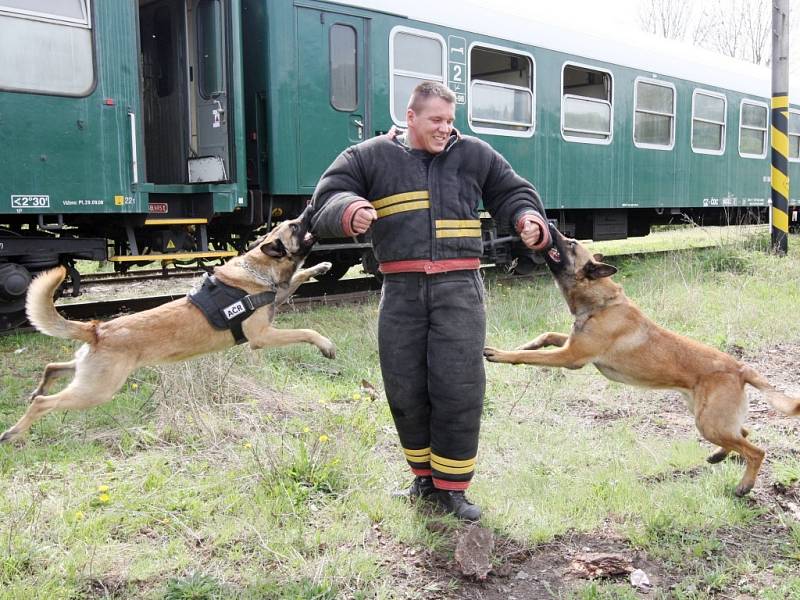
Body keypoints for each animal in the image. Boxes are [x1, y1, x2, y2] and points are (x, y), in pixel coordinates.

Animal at [0, 207, 334, 446]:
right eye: (294, 226)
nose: (309, 207)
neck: (259, 268)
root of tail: (97, 329)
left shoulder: (278, 296)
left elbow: (298, 277)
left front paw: (319, 267)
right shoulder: (262, 336)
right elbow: (306, 332)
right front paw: (326, 345)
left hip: (89, 376)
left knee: (53, 368)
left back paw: (38, 388)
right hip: (96, 390)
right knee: (43, 403)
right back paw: (13, 432)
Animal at [482, 226, 800, 496]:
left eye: (570, 243)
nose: (548, 224)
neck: (601, 302)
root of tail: (740, 367)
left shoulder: (571, 356)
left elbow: (529, 357)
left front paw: (501, 354)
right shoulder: (572, 344)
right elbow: (545, 336)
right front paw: (527, 342)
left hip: (709, 424)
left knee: (756, 450)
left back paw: (745, 485)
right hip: (709, 419)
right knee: (743, 432)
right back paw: (718, 455)